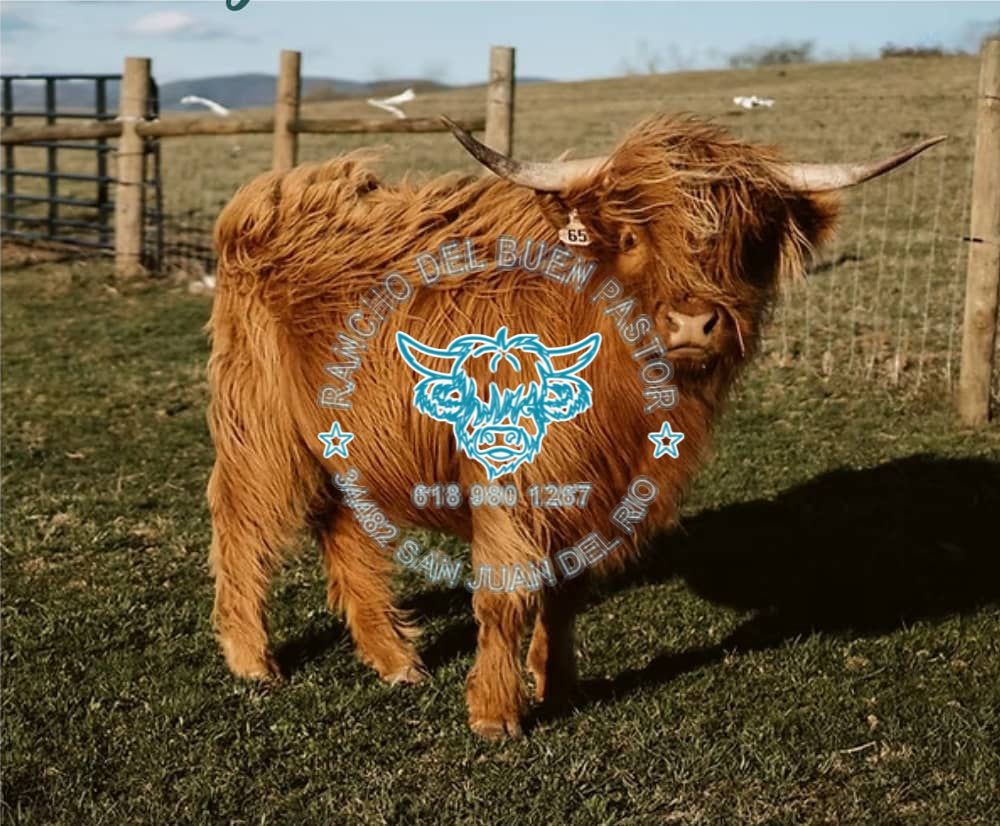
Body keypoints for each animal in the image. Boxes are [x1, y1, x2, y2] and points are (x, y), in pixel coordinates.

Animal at [207, 114, 943, 739]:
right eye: (632, 236)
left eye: (748, 242)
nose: (693, 324)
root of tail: (271, 192)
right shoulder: (508, 482)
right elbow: (506, 596)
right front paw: (495, 713)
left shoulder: (596, 489)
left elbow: (566, 591)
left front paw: (557, 685)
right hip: (259, 424)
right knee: (242, 520)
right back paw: (252, 660)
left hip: (348, 438)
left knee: (346, 529)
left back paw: (394, 659)